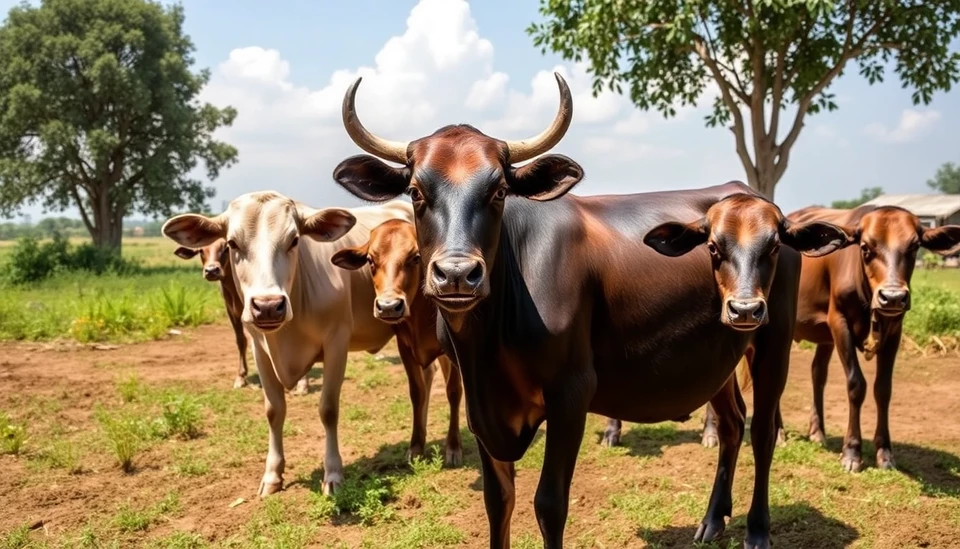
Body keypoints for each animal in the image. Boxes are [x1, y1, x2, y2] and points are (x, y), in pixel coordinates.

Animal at [171, 240, 308, 394]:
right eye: (201, 250)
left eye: (225, 248)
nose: (211, 271)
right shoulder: (232, 312)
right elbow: (241, 341)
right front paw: (241, 377)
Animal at [330, 216, 464, 464]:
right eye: (370, 260)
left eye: (416, 257)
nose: (389, 306)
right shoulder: (405, 348)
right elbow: (417, 392)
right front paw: (416, 446)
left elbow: (453, 391)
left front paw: (453, 447)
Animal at [784, 204, 960, 470]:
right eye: (865, 247)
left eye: (914, 247)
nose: (893, 297)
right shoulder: (840, 322)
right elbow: (856, 384)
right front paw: (852, 451)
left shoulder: (894, 331)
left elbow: (883, 389)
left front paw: (885, 452)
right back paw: (778, 433)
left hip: (824, 337)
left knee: (818, 373)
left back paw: (817, 432)